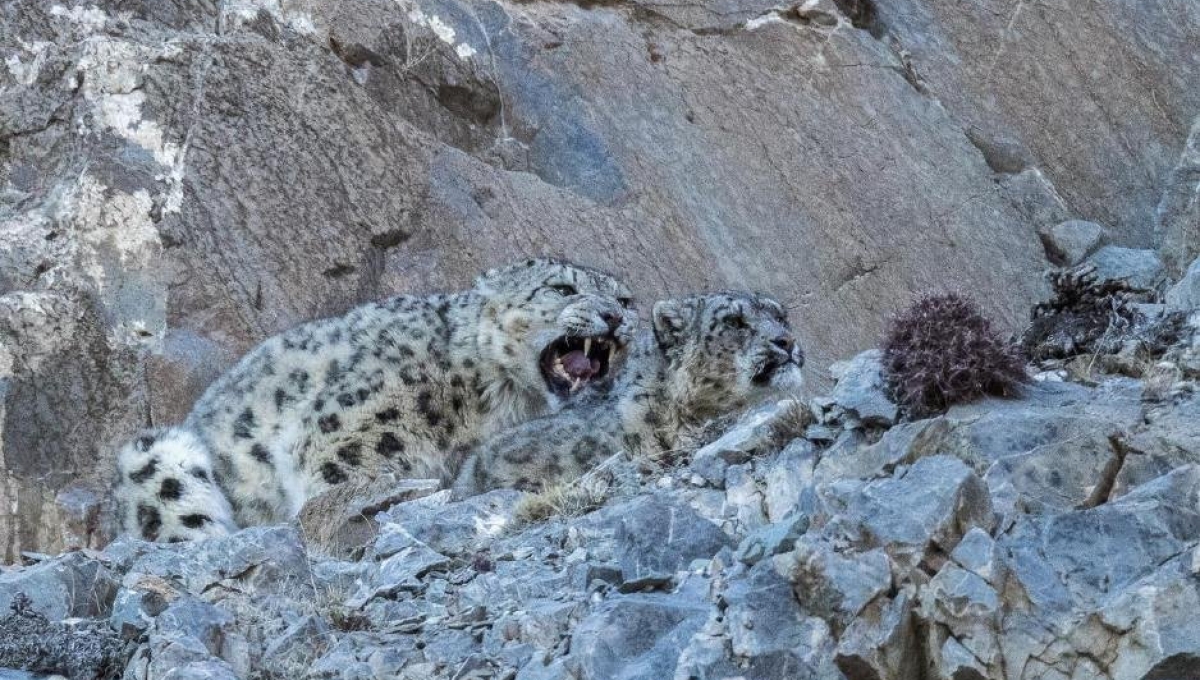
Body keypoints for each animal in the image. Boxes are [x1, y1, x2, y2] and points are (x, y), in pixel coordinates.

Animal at [113, 259, 638, 542]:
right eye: (562, 288)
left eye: (627, 299)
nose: (614, 315)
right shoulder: (352, 432)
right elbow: (340, 480)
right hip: (160, 458)